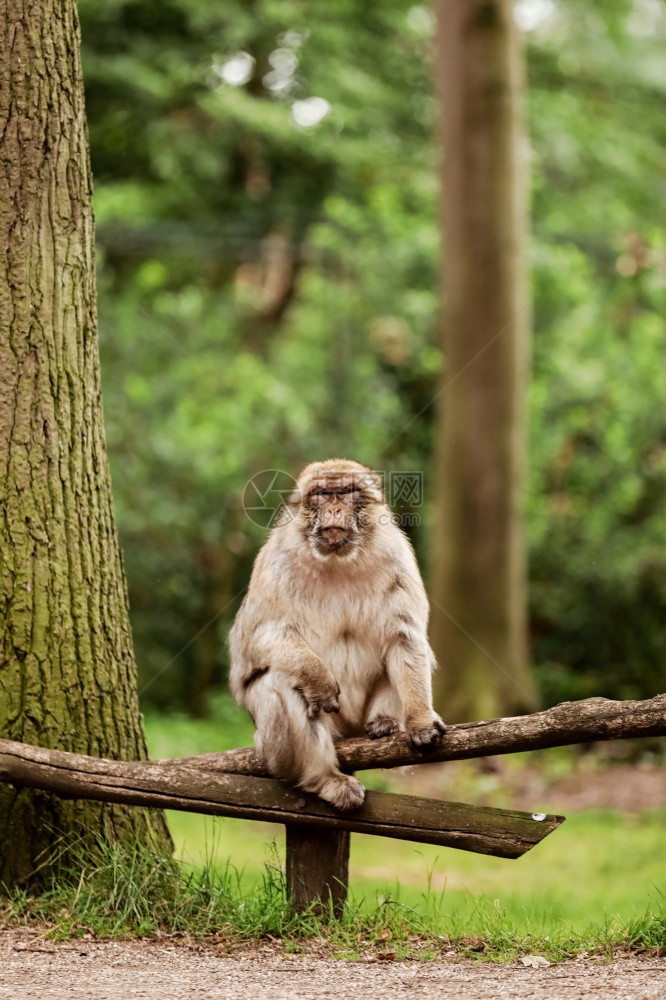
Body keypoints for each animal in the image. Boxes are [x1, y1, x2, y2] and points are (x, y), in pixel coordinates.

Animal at [230, 460, 446, 812]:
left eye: (345, 491)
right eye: (321, 494)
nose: (333, 508)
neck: (337, 559)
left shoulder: (397, 556)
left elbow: (404, 637)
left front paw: (420, 720)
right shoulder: (275, 561)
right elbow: (260, 637)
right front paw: (316, 677)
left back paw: (387, 722)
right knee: (278, 681)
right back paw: (325, 778)